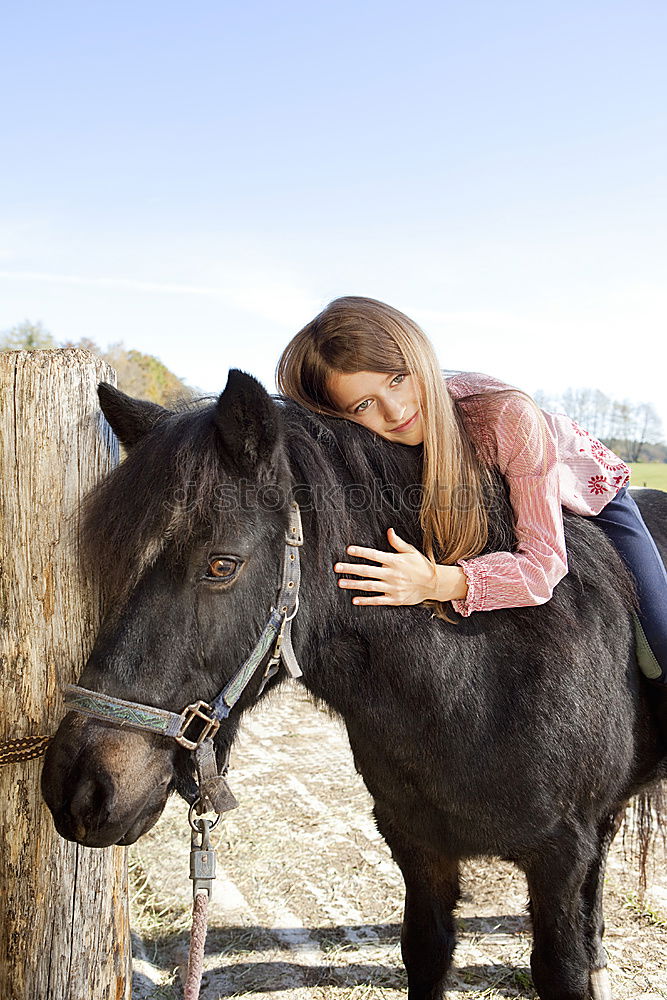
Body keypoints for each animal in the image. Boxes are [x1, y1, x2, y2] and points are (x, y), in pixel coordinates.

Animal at [43, 370, 667, 1000]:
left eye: (221, 566)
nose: (78, 786)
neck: (483, 687)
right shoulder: (417, 844)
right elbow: (426, 950)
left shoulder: (559, 857)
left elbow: (559, 968)